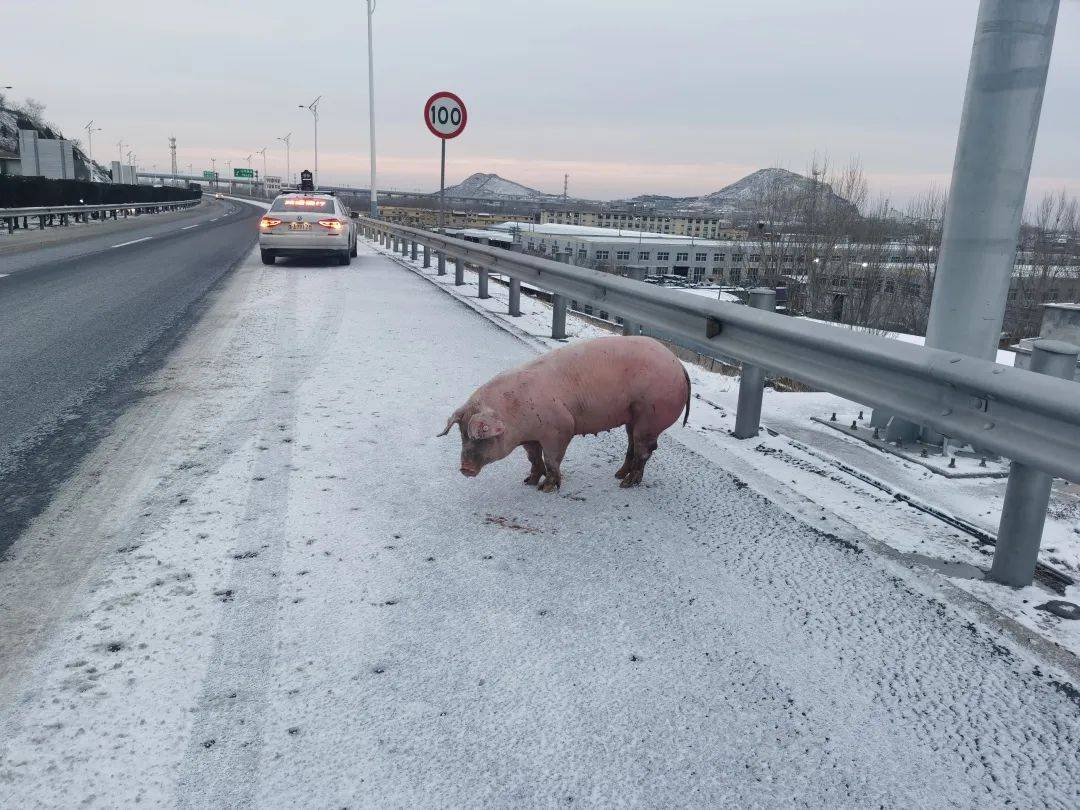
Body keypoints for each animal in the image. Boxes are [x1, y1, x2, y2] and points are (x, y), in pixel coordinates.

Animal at [438, 332, 691, 492]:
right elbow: (533, 457)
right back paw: (618, 475)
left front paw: (546, 489)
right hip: (634, 417)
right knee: (633, 445)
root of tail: (678, 365)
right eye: (462, 435)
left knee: (645, 450)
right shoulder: (530, 437)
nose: (464, 469)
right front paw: (528, 481)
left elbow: (552, 459)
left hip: (651, 414)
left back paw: (626, 484)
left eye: (480, 435)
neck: (513, 414)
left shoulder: (560, 428)